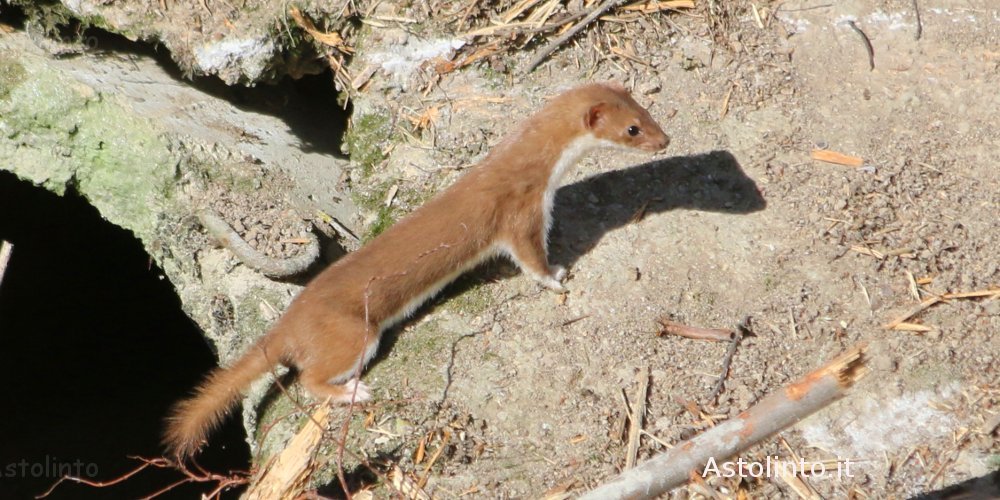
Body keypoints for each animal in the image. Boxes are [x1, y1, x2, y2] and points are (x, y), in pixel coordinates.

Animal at [164, 81, 672, 458]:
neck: (534, 167)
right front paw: (558, 276)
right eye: (632, 129)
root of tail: (287, 323)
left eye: (649, 112)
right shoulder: (521, 214)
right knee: (310, 379)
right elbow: (530, 256)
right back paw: (353, 393)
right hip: (354, 334)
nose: (665, 140)